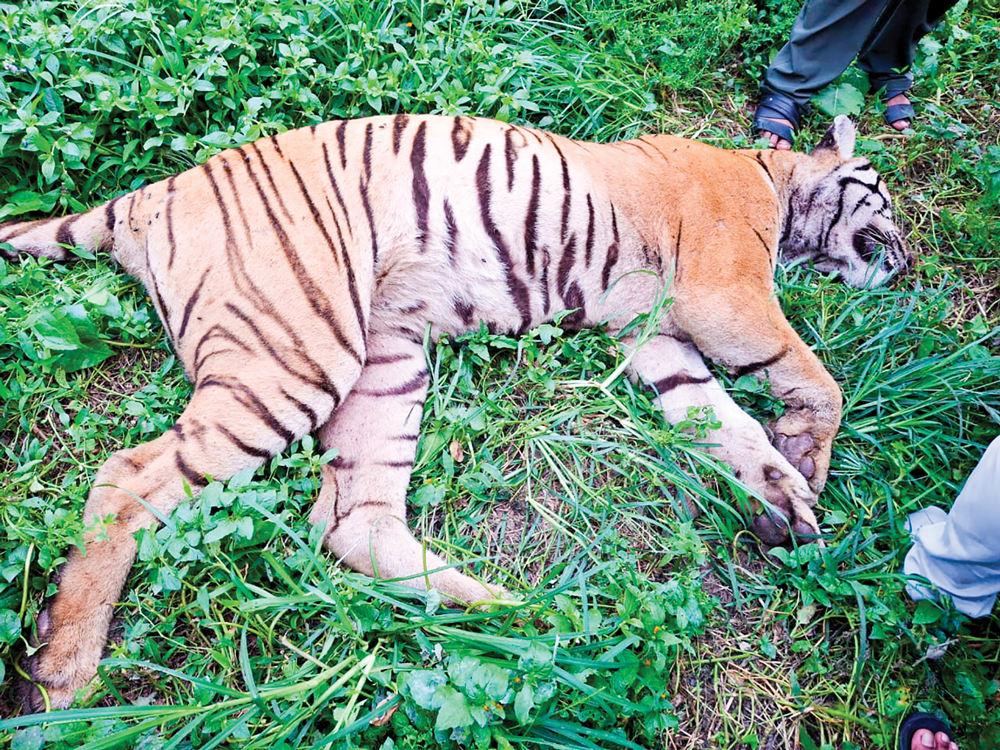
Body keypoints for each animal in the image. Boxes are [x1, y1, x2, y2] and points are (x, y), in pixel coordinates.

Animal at [0, 111, 908, 712]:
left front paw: (785, 497)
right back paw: (65, 671)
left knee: (351, 520)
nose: (905, 258)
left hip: (384, 365)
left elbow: (728, 421)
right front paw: (807, 460)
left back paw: (521, 618)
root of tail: (155, 192)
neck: (774, 181)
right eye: (884, 201)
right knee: (130, 477)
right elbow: (813, 377)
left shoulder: (655, 336)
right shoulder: (726, 296)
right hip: (296, 356)